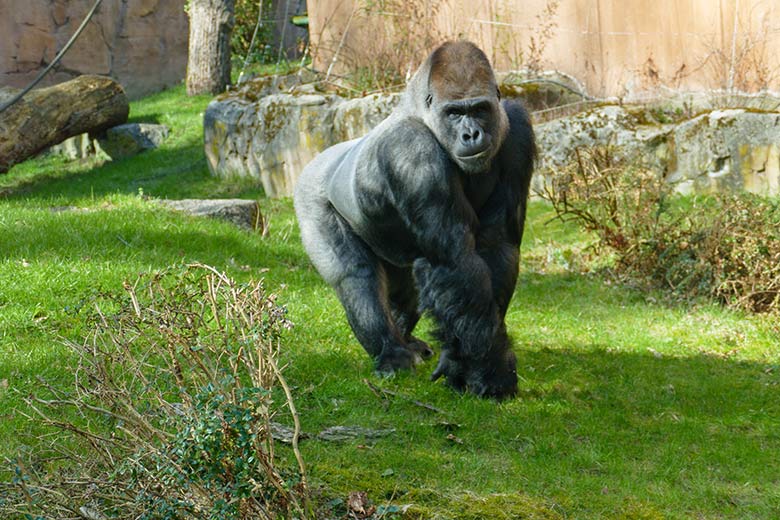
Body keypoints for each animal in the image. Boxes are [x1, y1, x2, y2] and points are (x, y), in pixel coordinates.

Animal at [292, 40, 536, 398]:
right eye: (454, 113)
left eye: (479, 109)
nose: (472, 134)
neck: (423, 111)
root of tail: (317, 159)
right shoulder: (411, 149)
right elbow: (456, 261)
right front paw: (490, 372)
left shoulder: (517, 129)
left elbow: (497, 248)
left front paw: (464, 361)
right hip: (310, 195)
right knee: (356, 276)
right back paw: (390, 352)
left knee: (405, 288)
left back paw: (405, 338)